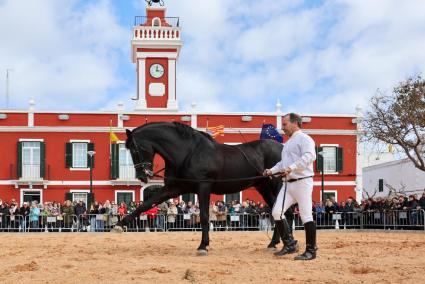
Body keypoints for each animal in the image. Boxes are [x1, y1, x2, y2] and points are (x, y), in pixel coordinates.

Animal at [111, 122, 294, 255]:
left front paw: (203, 246)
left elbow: (205, 216)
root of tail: (282, 148)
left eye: (134, 149)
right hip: (264, 187)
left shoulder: (203, 187)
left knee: (284, 212)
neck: (188, 153)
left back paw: (287, 243)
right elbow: (146, 204)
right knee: (278, 212)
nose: (143, 176)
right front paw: (119, 225)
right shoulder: (174, 188)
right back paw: (275, 243)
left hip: (276, 185)